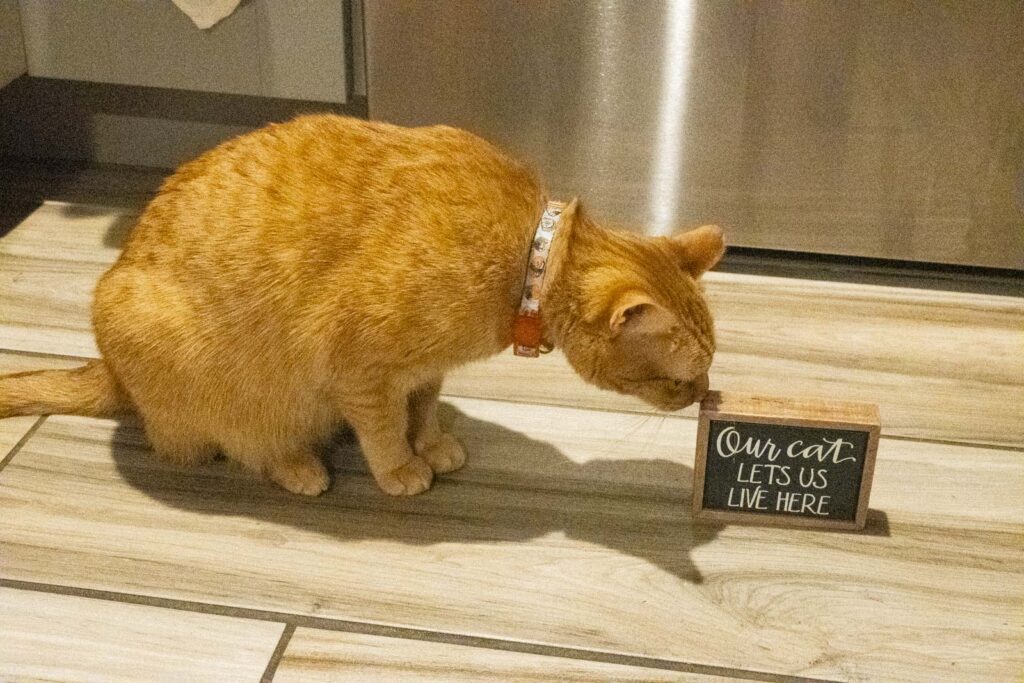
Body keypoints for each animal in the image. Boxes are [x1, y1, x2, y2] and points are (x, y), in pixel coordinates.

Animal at [0, 113, 724, 497]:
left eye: (707, 372)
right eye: (680, 379)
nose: (704, 399)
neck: (526, 252)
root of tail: (114, 374)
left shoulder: (424, 371)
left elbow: (422, 409)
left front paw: (430, 444)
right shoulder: (360, 370)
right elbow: (380, 428)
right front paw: (401, 467)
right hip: (224, 388)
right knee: (240, 443)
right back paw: (299, 466)